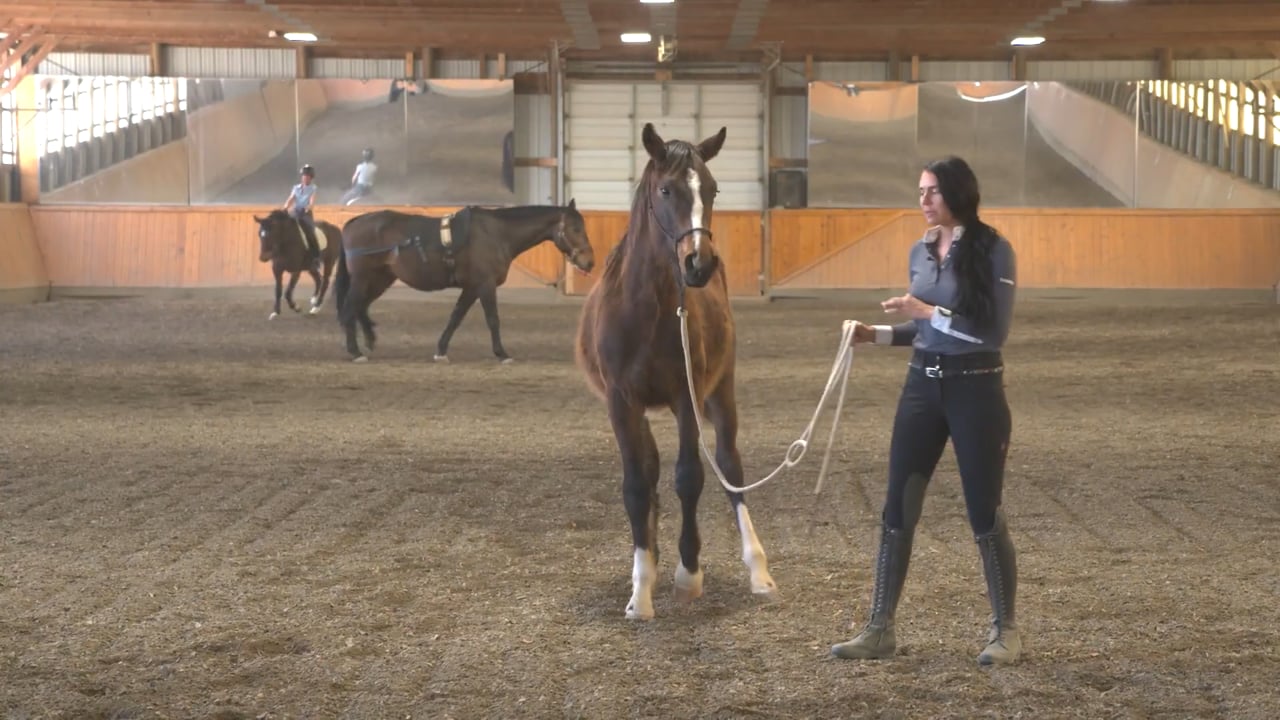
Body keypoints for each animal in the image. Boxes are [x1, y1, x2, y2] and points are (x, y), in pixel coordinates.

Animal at [334, 201, 594, 363]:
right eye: (575, 228)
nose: (589, 261)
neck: (496, 234)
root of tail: (353, 223)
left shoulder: (471, 287)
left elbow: (456, 317)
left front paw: (441, 351)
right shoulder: (485, 285)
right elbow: (493, 319)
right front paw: (502, 353)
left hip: (381, 278)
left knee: (361, 307)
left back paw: (369, 341)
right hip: (363, 278)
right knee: (350, 308)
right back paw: (355, 352)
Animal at [574, 123, 778, 621]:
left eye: (713, 189)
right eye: (665, 190)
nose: (699, 263)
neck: (646, 311)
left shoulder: (688, 397)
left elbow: (690, 476)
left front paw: (689, 572)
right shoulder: (621, 404)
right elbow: (635, 484)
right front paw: (641, 590)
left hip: (721, 394)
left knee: (729, 466)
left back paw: (758, 570)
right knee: (649, 469)